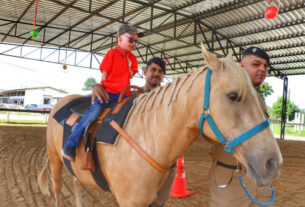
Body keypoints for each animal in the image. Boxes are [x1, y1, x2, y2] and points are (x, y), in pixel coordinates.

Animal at [36, 45, 282, 207]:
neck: (147, 136)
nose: (273, 163)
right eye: (233, 96)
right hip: (56, 162)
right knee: (57, 192)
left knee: (77, 185)